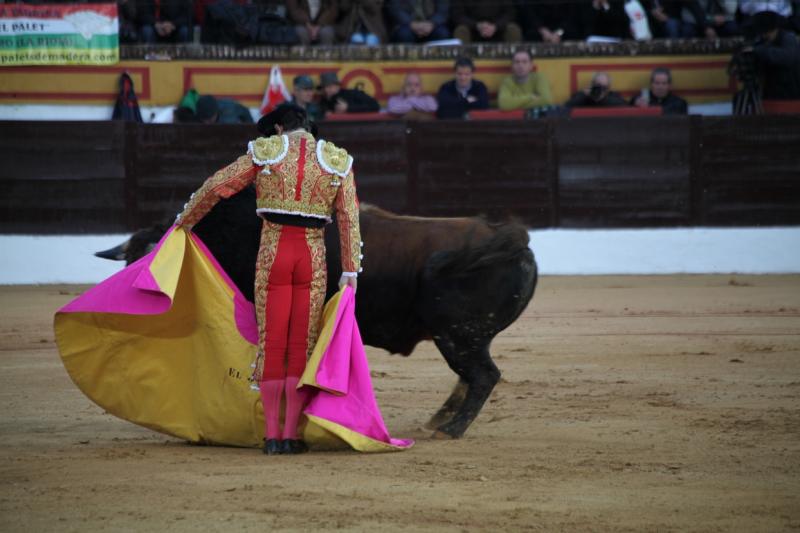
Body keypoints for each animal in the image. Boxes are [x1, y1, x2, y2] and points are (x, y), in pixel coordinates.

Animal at [98, 189, 536, 438]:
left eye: (151, 277)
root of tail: (512, 241)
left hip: (459, 334)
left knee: (483, 376)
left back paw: (450, 430)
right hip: (464, 337)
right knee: (472, 377)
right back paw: (439, 421)